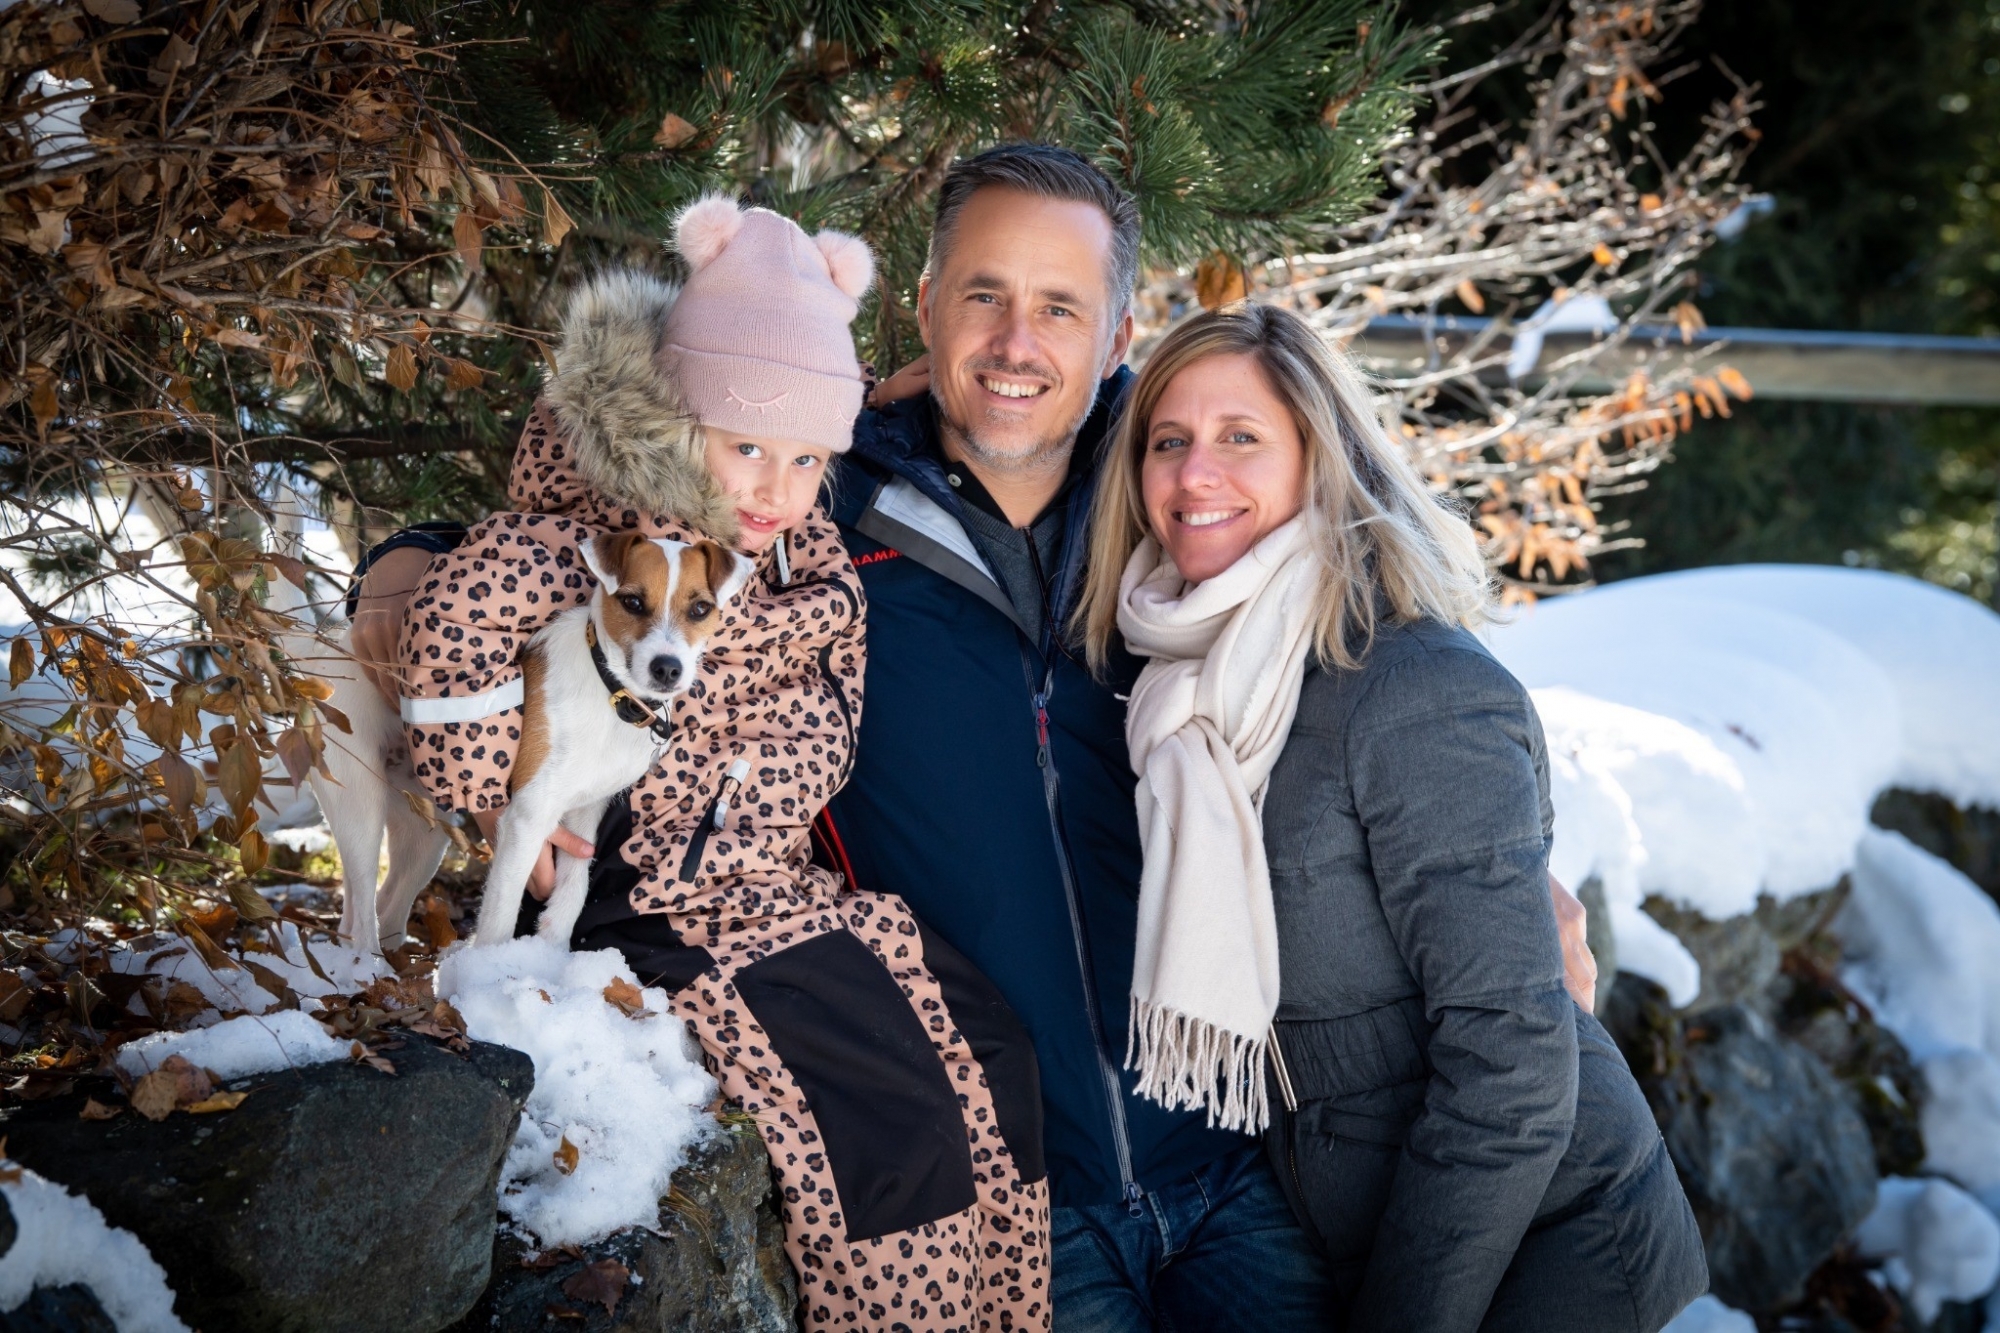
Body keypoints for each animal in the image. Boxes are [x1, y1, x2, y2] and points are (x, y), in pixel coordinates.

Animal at [292, 528, 748, 956]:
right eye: (633, 602)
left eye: (700, 609)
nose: (667, 669)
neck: (610, 692)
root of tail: (328, 648)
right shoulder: (528, 817)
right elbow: (499, 916)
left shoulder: (584, 813)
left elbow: (573, 890)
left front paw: (550, 954)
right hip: (360, 806)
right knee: (363, 904)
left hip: (425, 830)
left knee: (382, 904)